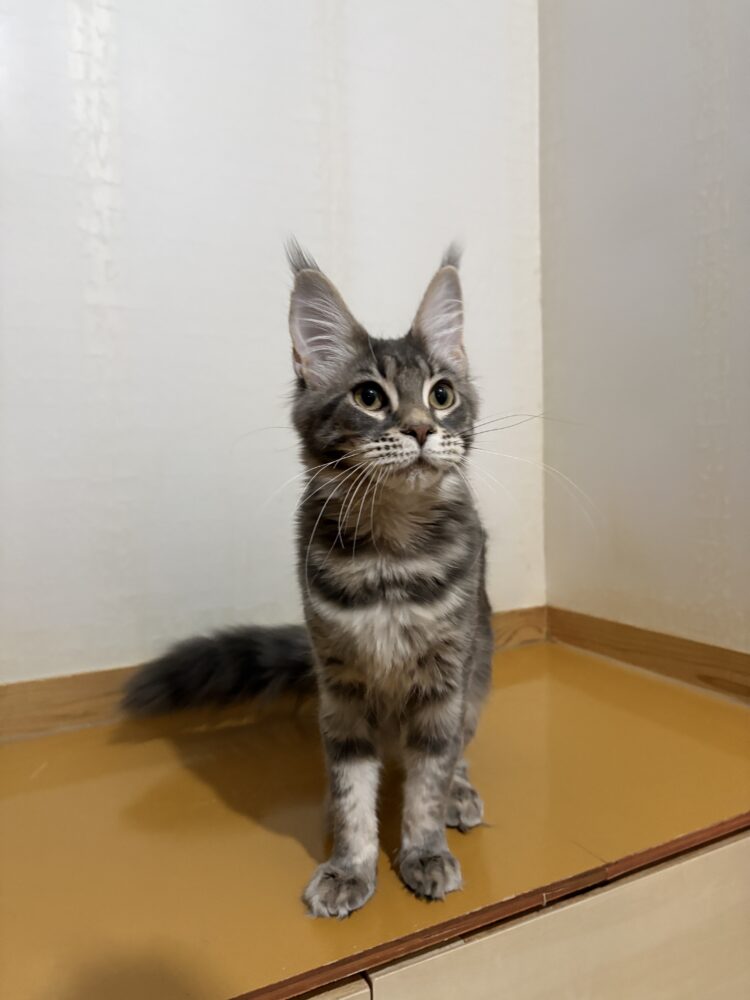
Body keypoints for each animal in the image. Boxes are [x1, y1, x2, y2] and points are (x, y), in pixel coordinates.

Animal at [123, 243, 493, 918]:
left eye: (442, 394)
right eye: (369, 396)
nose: (422, 428)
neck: (389, 558)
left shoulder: (443, 680)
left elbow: (428, 778)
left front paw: (423, 851)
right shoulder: (340, 686)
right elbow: (352, 788)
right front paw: (350, 864)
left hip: (476, 675)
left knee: (458, 749)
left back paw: (460, 793)